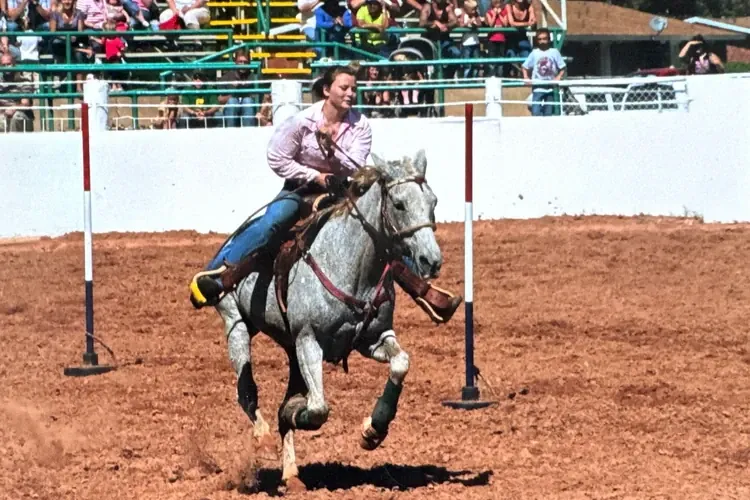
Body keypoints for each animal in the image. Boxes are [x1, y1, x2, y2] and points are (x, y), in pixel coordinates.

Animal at [212, 149, 442, 488]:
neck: (353, 266)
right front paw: (296, 410)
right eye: (399, 204)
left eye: (433, 201)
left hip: (291, 347)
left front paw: (373, 430)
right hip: (236, 323)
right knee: (246, 391)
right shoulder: (309, 340)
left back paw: (291, 473)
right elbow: (319, 408)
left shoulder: (372, 338)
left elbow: (401, 363)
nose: (431, 260)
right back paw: (263, 435)